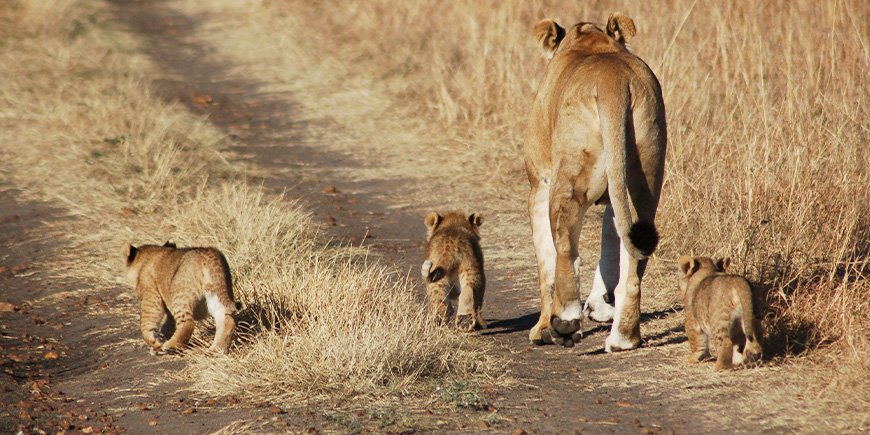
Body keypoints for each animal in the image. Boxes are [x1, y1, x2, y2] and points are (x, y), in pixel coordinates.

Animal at [524, 13, 668, 352]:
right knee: (634, 254)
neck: (590, 40)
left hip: (567, 177)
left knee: (565, 249)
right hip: (645, 173)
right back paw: (623, 338)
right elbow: (610, 242)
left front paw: (541, 328)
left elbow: (545, 261)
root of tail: (613, 83)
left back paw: (564, 323)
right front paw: (599, 306)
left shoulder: (539, 184)